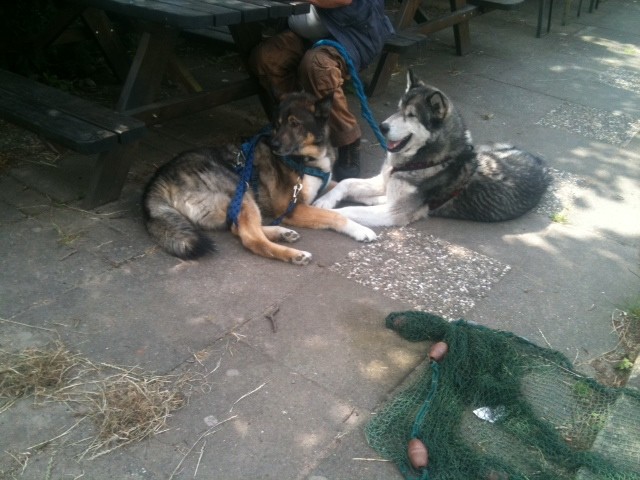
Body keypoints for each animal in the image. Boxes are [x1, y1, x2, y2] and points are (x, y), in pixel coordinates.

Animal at [142, 92, 376, 265]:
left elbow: (346, 184)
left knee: (238, 229)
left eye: (295, 124)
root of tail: (159, 178)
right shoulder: (292, 208)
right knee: (251, 239)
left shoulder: (322, 184)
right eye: (277, 124)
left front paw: (374, 199)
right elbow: (334, 216)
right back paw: (293, 254)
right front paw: (360, 229)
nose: (273, 145)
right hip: (242, 193)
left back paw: (282, 233)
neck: (306, 158)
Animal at [313, 70, 551, 226]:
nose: (382, 126)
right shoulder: (384, 180)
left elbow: (349, 209)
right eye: (398, 108)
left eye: (411, 115)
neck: (424, 160)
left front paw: (326, 210)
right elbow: (346, 182)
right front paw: (325, 200)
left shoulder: (393, 213)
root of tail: (541, 163)